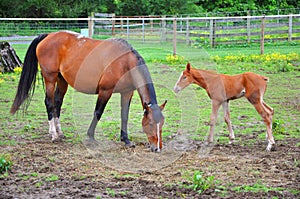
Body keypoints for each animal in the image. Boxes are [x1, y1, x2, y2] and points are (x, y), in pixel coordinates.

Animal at [11, 30, 166, 152]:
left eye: (162, 124)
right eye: (150, 123)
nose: (157, 148)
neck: (124, 61)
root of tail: (48, 36)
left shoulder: (127, 93)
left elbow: (124, 116)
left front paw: (126, 140)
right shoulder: (105, 91)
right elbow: (98, 112)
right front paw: (91, 137)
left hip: (62, 80)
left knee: (57, 103)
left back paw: (59, 132)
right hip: (50, 78)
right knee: (49, 102)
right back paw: (54, 134)